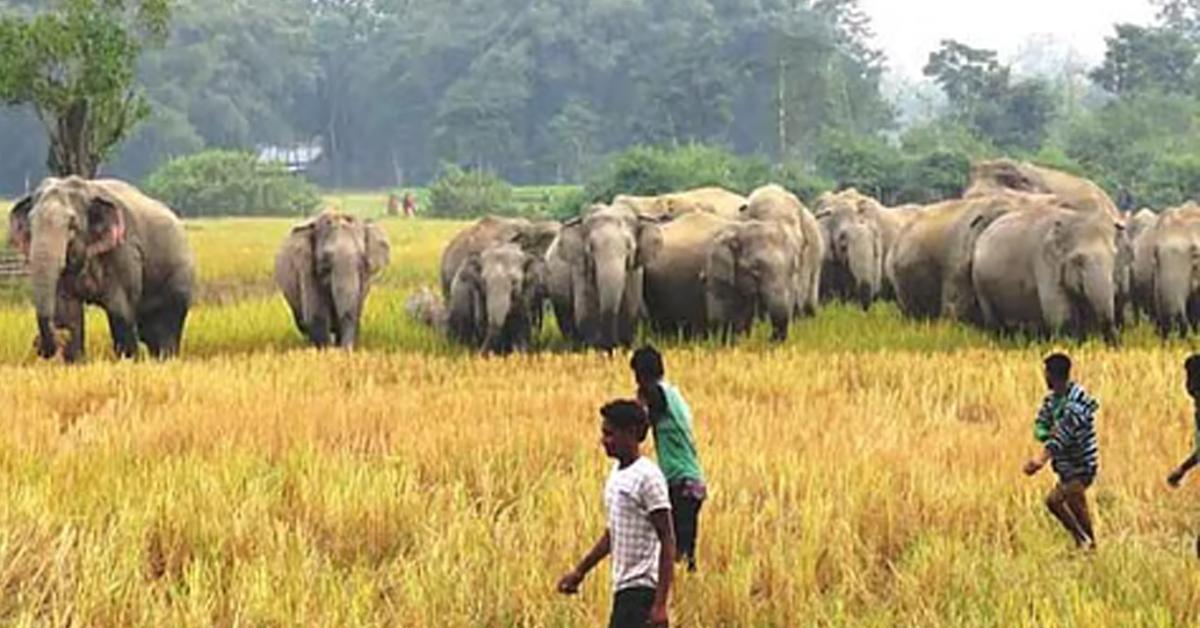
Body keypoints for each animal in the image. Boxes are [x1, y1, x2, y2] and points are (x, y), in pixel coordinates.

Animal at [8, 176, 195, 362]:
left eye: (72, 225)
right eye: (30, 223)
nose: (37, 344)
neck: (87, 189)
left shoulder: (124, 251)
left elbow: (120, 310)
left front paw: (129, 361)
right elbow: (69, 310)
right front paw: (75, 361)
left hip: (179, 277)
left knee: (166, 327)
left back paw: (167, 359)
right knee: (150, 333)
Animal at [274, 210, 391, 349]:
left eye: (362, 259)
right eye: (326, 259)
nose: (346, 350)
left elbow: (354, 311)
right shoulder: (307, 269)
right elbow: (317, 316)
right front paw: (326, 350)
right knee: (302, 323)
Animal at [544, 204, 663, 350]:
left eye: (629, 247)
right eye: (590, 248)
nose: (611, 343)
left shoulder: (635, 271)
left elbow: (630, 309)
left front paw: (622, 347)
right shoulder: (580, 268)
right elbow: (585, 312)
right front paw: (596, 348)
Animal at [972, 207, 1124, 344]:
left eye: (1114, 256)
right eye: (1078, 260)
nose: (1117, 344)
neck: (1072, 217)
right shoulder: (1044, 261)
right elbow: (1058, 311)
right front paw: (1068, 344)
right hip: (980, 284)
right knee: (992, 318)